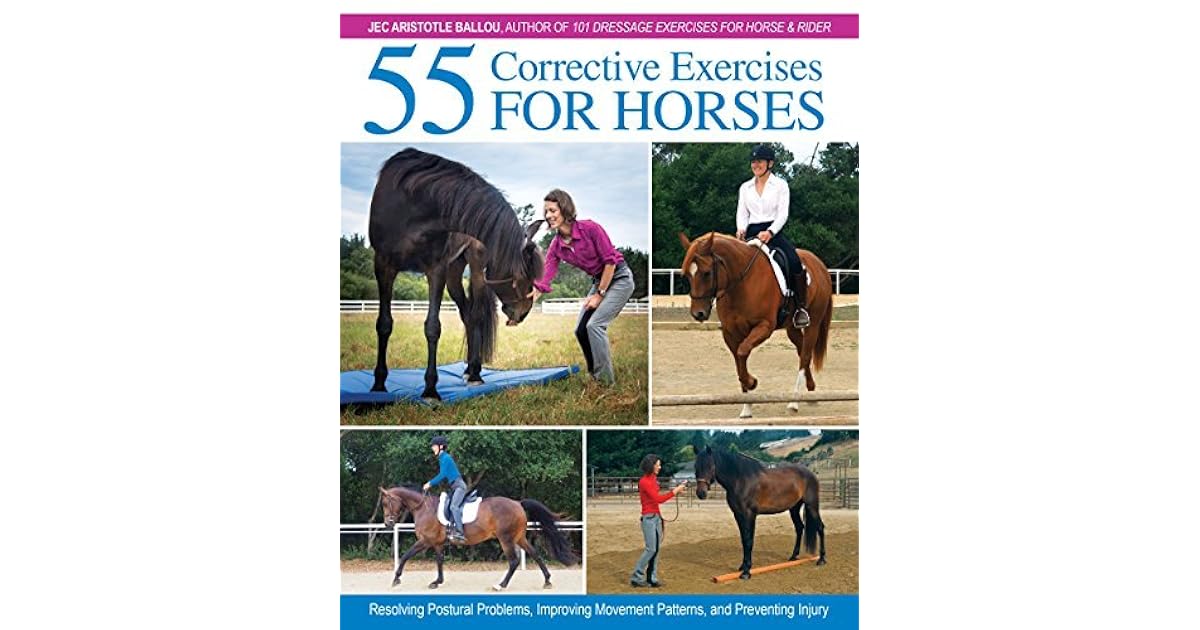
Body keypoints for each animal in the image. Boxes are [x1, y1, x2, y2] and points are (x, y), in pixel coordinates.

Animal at [368, 148, 545, 400]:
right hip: (453, 275)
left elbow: (432, 327)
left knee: (477, 315)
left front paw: (430, 390)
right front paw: (379, 385)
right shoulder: (383, 266)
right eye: (524, 274)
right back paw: (470, 370)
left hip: (475, 272)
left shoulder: (436, 269)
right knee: (468, 315)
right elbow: (384, 324)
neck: (414, 204)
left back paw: (475, 373)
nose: (525, 311)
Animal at [378, 486, 578, 591]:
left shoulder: (426, 541)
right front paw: (437, 582)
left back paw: (501, 585)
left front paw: (396, 579)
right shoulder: (437, 543)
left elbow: (405, 556)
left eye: (387, 503)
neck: (422, 507)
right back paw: (547, 581)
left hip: (505, 539)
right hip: (519, 537)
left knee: (513, 561)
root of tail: (517, 503)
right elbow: (440, 561)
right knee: (535, 555)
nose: (388, 523)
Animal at [678, 232, 833, 418]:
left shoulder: (764, 326)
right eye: (687, 274)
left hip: (813, 324)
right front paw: (746, 408)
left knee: (805, 356)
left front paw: (752, 382)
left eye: (707, 273)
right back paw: (811, 393)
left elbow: (742, 351)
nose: (698, 314)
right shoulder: (730, 333)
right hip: (792, 328)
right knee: (802, 351)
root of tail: (819, 263)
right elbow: (739, 361)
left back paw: (794, 402)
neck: (741, 283)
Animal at [692, 444, 826, 580]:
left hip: (812, 505)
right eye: (696, 466)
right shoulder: (738, 515)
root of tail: (810, 474)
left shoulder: (749, 514)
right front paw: (743, 567)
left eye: (710, 466)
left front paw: (746, 572)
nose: (701, 493)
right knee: (799, 528)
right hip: (794, 508)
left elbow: (749, 540)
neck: (740, 480)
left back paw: (821, 559)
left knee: (820, 527)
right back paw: (793, 557)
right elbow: (744, 539)